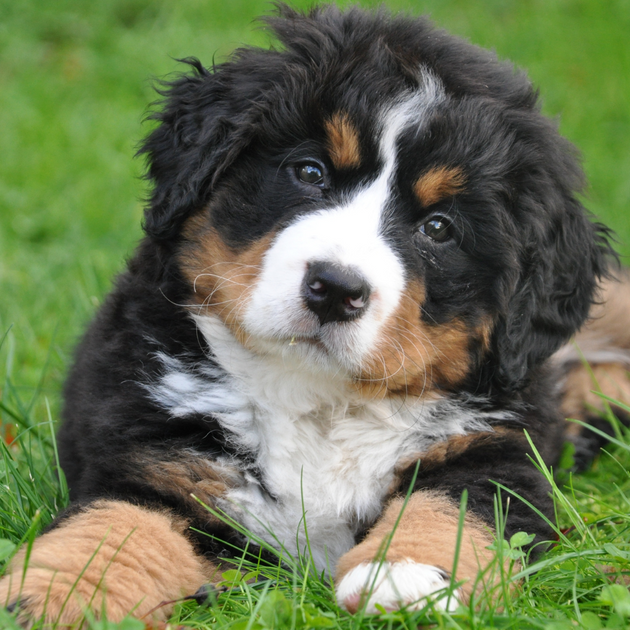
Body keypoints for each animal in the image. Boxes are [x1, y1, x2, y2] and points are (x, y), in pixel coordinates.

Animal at [1, 3, 630, 628]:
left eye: (438, 228)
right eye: (309, 172)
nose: (335, 289)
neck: (318, 400)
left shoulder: (498, 450)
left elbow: (450, 508)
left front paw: (406, 578)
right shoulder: (155, 455)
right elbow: (112, 530)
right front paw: (49, 594)